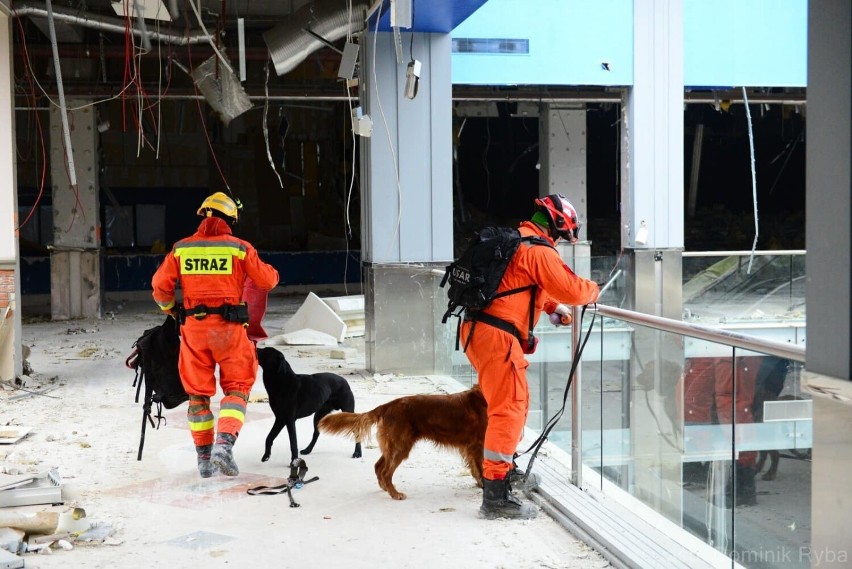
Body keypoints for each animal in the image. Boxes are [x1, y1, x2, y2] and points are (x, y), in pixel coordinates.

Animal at [318, 384, 486, 500]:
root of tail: (387, 406)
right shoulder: (478, 445)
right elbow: (480, 468)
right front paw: (484, 486)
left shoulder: (470, 447)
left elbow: (474, 467)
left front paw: (479, 484)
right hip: (401, 446)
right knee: (386, 472)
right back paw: (395, 494)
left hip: (393, 446)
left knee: (378, 466)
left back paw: (386, 488)